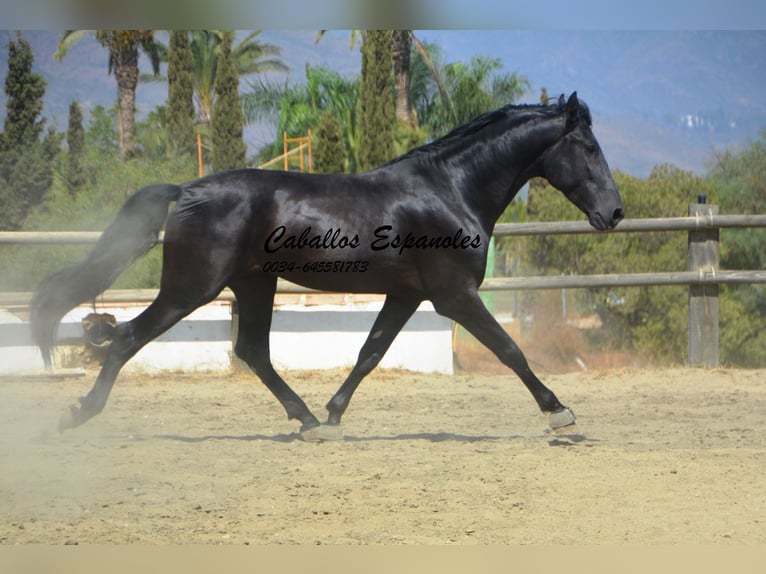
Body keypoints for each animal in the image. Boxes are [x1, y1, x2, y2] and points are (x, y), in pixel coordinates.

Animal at [33, 93, 628, 440]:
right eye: (588, 147)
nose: (614, 213)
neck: (449, 189)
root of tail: (186, 190)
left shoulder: (407, 295)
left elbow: (370, 353)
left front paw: (336, 412)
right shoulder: (454, 295)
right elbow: (510, 350)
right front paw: (560, 413)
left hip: (254, 283)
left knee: (252, 351)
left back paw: (308, 420)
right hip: (193, 287)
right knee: (127, 337)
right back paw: (79, 413)